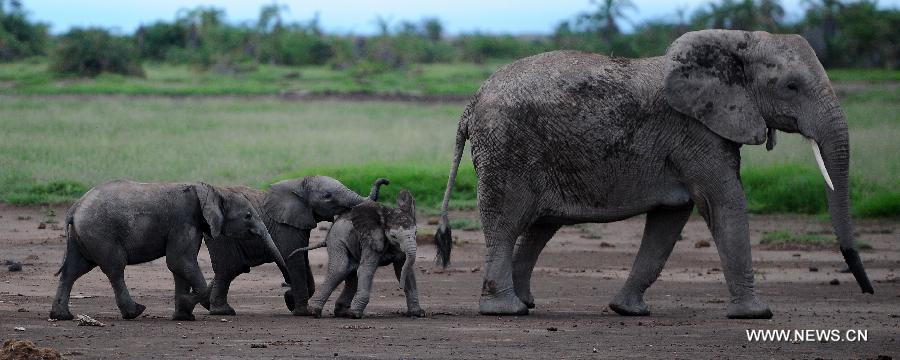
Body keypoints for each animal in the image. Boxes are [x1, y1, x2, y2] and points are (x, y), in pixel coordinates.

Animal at [49, 180, 288, 320]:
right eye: (248, 216)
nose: (288, 291)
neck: (212, 189)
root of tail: (74, 208)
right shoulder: (183, 220)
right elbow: (180, 262)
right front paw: (190, 304)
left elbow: (179, 267)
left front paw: (183, 316)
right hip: (100, 233)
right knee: (115, 268)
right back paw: (135, 312)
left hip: (82, 236)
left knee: (73, 270)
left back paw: (62, 316)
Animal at [204, 176, 386, 316]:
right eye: (327, 196)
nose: (385, 181)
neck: (299, 185)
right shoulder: (285, 227)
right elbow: (294, 260)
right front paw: (301, 312)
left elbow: (303, 260)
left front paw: (289, 300)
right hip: (222, 238)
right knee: (229, 269)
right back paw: (223, 311)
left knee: (234, 269)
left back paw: (205, 302)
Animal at [292, 188, 426, 318]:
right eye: (394, 236)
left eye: (416, 232)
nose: (400, 287)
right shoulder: (370, 240)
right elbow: (367, 269)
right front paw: (355, 314)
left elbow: (405, 270)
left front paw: (418, 313)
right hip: (337, 241)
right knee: (340, 269)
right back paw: (315, 312)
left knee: (351, 272)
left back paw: (343, 313)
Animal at [434, 30, 872, 318]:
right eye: (792, 86)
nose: (867, 289)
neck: (733, 42)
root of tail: (472, 100)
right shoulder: (696, 130)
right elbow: (724, 201)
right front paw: (756, 314)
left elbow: (669, 220)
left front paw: (628, 311)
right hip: (507, 146)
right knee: (507, 222)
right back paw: (505, 310)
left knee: (541, 226)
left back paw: (526, 304)